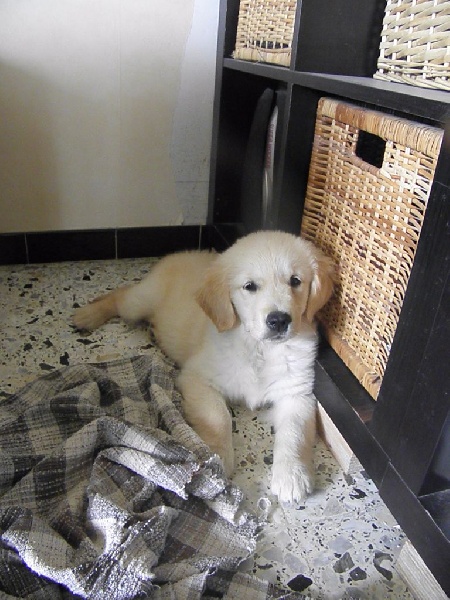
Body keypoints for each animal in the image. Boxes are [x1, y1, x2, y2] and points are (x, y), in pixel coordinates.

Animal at [73, 230, 335, 503]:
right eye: (250, 286)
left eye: (295, 281)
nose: (279, 320)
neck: (259, 348)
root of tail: (183, 253)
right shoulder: (197, 378)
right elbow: (218, 417)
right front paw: (217, 459)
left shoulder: (297, 392)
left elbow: (295, 432)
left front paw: (292, 475)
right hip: (139, 303)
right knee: (121, 295)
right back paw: (88, 314)